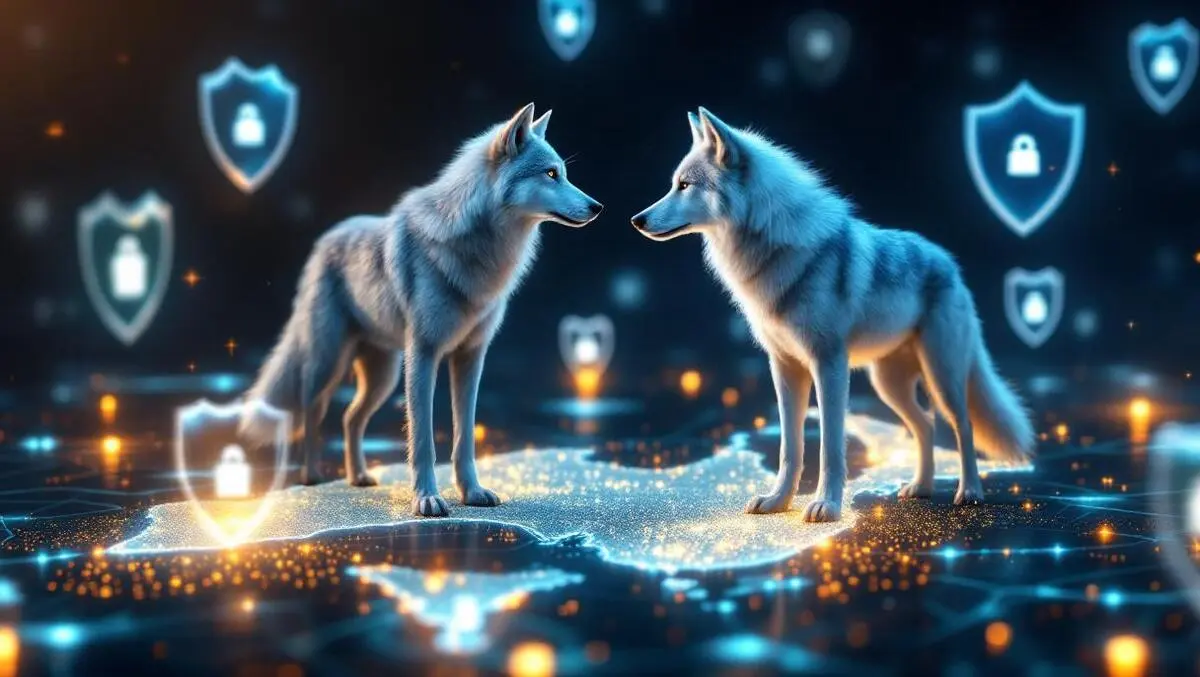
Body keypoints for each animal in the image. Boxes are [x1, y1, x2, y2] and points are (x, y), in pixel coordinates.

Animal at [240, 103, 603, 517]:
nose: (597, 207)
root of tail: (325, 239)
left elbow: (464, 436)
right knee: (310, 414)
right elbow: (423, 438)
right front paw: (427, 499)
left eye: (564, 172)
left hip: (382, 377)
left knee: (350, 418)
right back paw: (312, 475)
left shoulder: (471, 357)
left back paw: (358, 477)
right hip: (327, 364)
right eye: (551, 174)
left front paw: (472, 493)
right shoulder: (423, 354)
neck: (479, 251)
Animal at [631, 108, 1035, 522]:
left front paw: (827, 505)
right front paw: (778, 502)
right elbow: (790, 448)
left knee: (961, 424)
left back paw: (969, 491)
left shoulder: (829, 365)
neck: (772, 246)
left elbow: (829, 446)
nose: (637, 220)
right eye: (674, 184)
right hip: (887, 384)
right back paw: (920, 487)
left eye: (685, 185)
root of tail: (950, 263)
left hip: (942, 376)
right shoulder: (784, 367)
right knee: (925, 423)